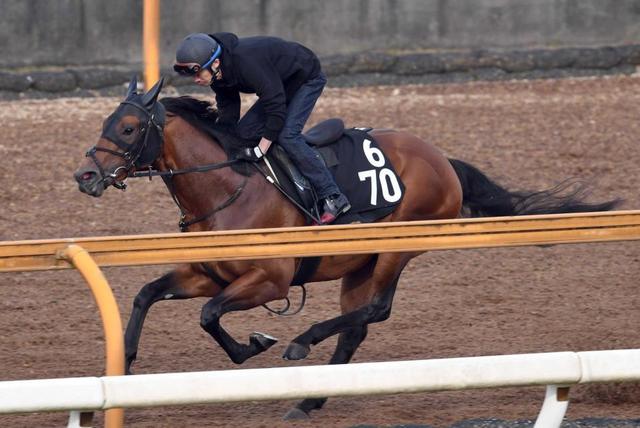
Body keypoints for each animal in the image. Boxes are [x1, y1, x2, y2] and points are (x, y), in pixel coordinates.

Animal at [73, 77, 620, 419]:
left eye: (127, 128)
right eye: (104, 123)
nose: (85, 176)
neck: (226, 188)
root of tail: (443, 159)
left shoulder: (269, 281)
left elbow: (210, 316)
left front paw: (257, 343)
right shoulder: (206, 273)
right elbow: (147, 294)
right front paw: (124, 363)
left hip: (397, 247)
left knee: (375, 310)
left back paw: (302, 342)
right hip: (361, 262)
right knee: (357, 326)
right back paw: (308, 401)